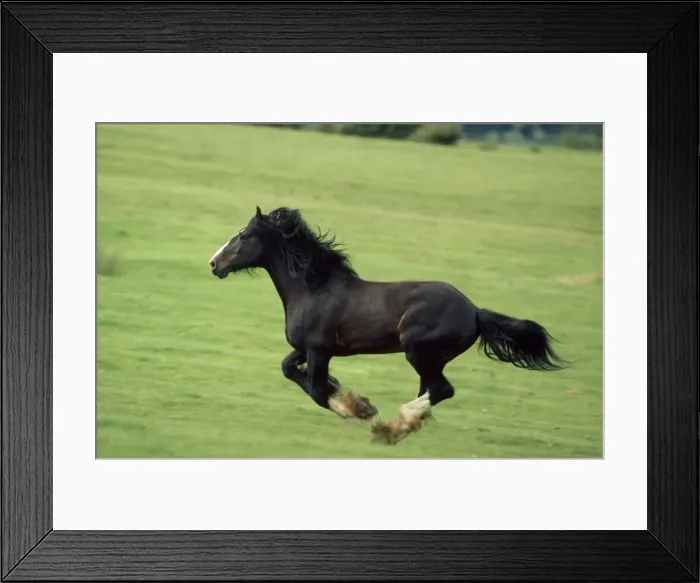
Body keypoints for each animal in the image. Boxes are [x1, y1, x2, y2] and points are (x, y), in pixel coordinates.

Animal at [209, 206, 568, 445]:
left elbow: (317, 390)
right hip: (430, 359)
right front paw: (348, 393)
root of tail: (475, 311)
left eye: (244, 235)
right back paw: (398, 427)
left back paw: (391, 427)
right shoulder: (305, 348)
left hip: (418, 351)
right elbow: (290, 369)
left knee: (441, 389)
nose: (214, 264)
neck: (312, 289)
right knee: (431, 390)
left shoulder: (319, 350)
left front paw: (361, 408)